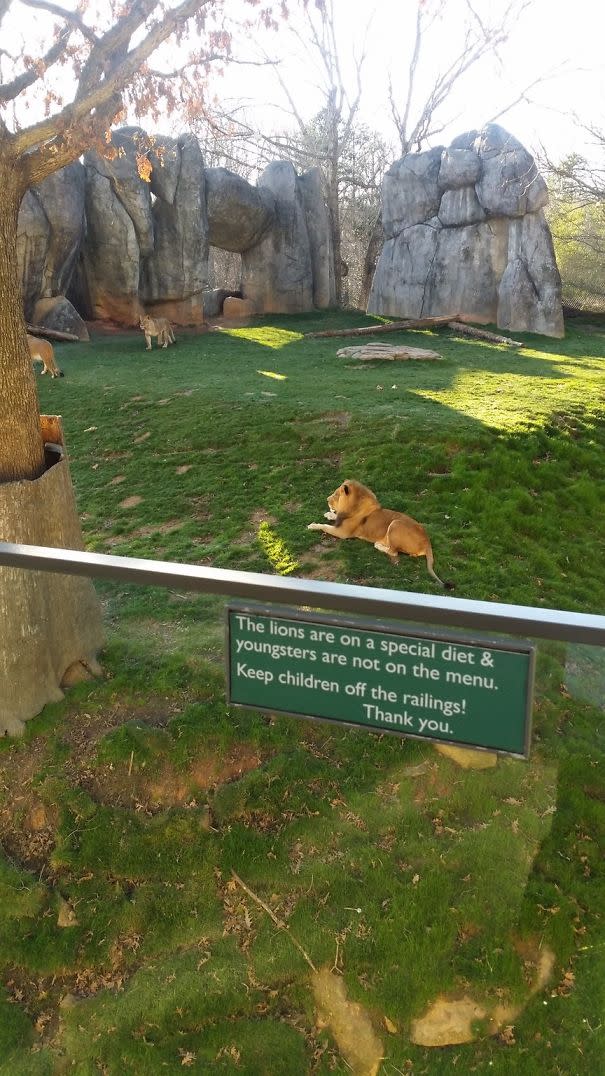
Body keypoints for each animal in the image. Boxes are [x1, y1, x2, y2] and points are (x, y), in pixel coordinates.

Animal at [307, 479, 449, 589]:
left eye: (336, 495)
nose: (326, 499)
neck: (353, 506)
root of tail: (427, 541)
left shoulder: (343, 532)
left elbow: (325, 526)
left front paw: (312, 525)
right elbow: (333, 517)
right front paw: (328, 514)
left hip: (395, 524)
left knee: (394, 552)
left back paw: (378, 545)